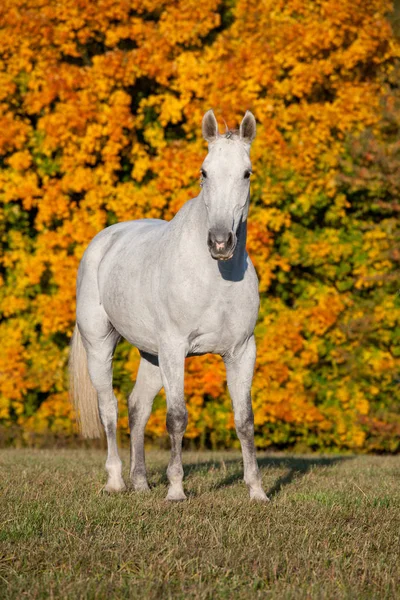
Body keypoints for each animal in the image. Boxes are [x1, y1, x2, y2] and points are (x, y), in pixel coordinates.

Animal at [69, 111, 268, 502]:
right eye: (204, 171)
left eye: (247, 173)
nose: (220, 242)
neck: (216, 277)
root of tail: (103, 241)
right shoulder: (175, 348)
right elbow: (177, 416)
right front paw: (176, 490)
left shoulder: (241, 351)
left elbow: (244, 420)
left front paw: (257, 491)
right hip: (100, 345)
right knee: (109, 408)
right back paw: (116, 481)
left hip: (151, 354)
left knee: (137, 406)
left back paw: (141, 482)